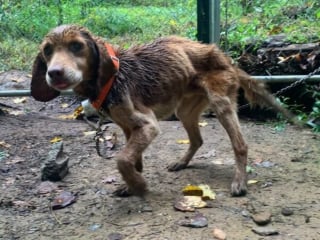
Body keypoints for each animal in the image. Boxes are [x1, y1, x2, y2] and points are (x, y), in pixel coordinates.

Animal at [30, 24, 296, 197]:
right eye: (47, 50)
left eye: (77, 46)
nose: (54, 73)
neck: (111, 78)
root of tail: (226, 58)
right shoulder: (129, 127)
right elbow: (133, 158)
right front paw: (131, 183)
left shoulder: (148, 125)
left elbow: (122, 159)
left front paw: (138, 185)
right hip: (186, 111)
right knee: (197, 140)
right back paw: (181, 163)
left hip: (222, 105)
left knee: (240, 145)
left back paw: (240, 182)